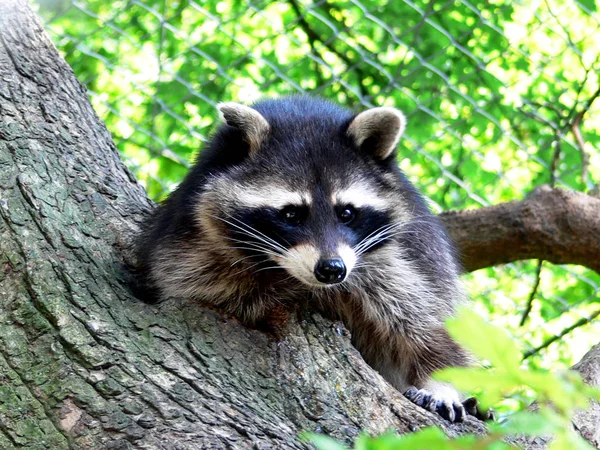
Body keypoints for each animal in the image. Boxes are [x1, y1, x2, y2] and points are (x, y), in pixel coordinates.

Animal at [134, 96, 476, 422]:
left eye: (347, 212)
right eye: (291, 214)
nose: (332, 269)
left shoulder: (411, 254)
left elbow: (431, 321)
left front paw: (441, 382)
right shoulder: (190, 246)